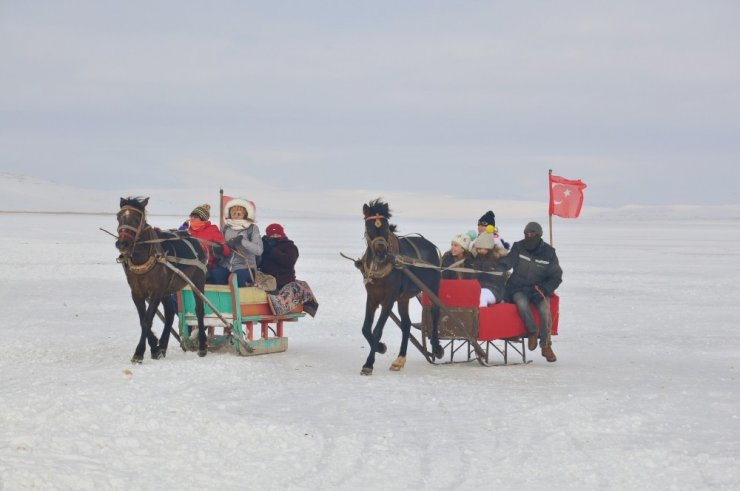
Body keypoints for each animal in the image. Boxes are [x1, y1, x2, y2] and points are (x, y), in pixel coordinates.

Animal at [115, 198, 208, 364]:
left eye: (136, 218)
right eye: (118, 217)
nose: (122, 243)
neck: (143, 258)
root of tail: (193, 238)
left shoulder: (155, 292)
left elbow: (147, 320)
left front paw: (139, 352)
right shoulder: (137, 293)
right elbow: (143, 320)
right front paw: (154, 348)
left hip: (197, 280)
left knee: (199, 310)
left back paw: (202, 346)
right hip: (167, 290)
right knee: (170, 314)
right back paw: (163, 347)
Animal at [360, 198, 446, 374]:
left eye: (386, 226)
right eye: (369, 226)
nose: (381, 252)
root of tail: (431, 245)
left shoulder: (389, 299)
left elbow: (377, 330)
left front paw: (369, 364)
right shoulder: (372, 297)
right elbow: (366, 329)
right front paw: (380, 347)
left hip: (432, 287)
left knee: (435, 313)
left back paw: (436, 348)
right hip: (404, 298)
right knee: (406, 325)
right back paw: (399, 359)